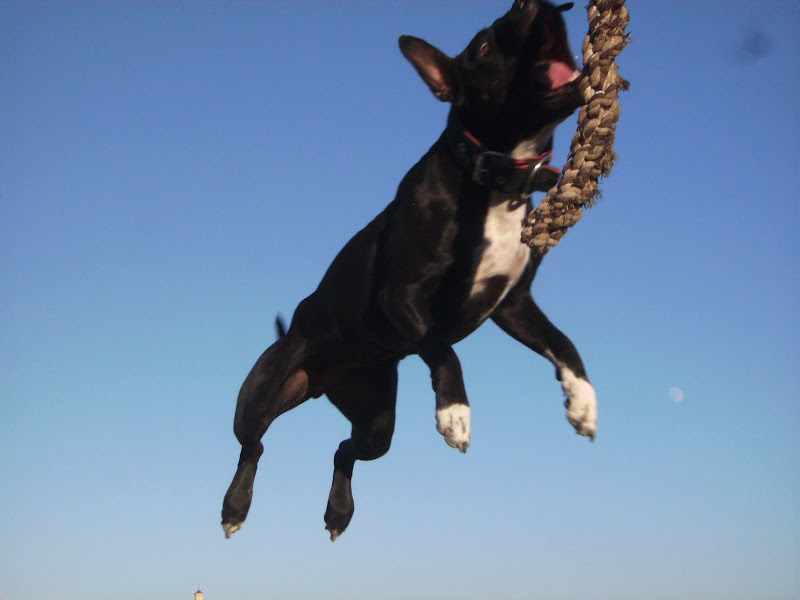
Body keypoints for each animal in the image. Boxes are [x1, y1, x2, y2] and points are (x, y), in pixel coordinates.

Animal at [222, 0, 596, 540]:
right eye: (484, 46)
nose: (529, 3)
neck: (492, 177)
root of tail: (321, 380)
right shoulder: (401, 294)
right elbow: (442, 348)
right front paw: (455, 411)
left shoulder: (514, 304)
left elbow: (563, 343)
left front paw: (583, 400)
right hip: (262, 394)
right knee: (254, 445)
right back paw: (235, 507)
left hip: (376, 424)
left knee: (344, 450)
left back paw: (338, 512)